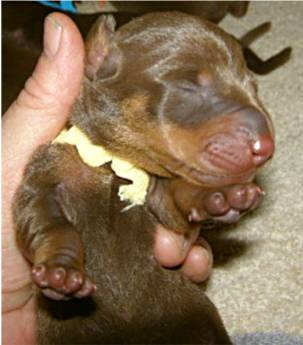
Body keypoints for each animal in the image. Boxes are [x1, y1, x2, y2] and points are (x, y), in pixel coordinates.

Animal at [13, 12, 276, 342]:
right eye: (187, 85)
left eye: (253, 87)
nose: (266, 147)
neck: (113, 165)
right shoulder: (44, 174)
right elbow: (46, 221)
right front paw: (59, 271)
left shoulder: (160, 198)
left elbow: (178, 204)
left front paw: (221, 197)